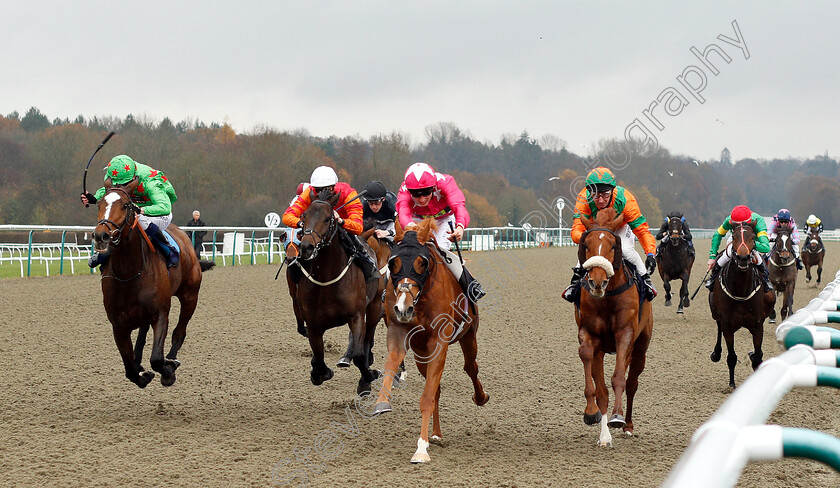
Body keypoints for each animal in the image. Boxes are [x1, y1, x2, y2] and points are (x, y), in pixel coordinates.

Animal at [90, 179, 215, 388]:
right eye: (99, 204)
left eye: (126, 205)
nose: (101, 236)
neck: (129, 273)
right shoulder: (118, 324)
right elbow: (129, 368)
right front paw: (142, 374)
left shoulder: (160, 312)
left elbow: (157, 359)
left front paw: (167, 372)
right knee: (142, 331)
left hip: (190, 295)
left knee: (180, 331)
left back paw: (171, 359)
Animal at [292, 189, 378, 394]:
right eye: (304, 217)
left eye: (327, 218)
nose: (306, 247)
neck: (326, 280)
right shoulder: (313, 324)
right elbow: (319, 359)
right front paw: (320, 373)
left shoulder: (356, 315)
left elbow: (358, 354)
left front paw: (367, 379)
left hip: (375, 306)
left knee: (367, 338)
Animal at [370, 219, 488, 464]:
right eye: (393, 262)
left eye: (421, 263)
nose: (403, 308)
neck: (420, 300)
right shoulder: (398, 332)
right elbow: (391, 365)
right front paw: (382, 403)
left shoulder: (438, 342)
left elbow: (426, 397)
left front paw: (421, 449)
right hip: (420, 354)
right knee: (437, 389)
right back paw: (436, 433)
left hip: (468, 335)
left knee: (471, 368)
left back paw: (480, 397)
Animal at [576, 206, 652, 446]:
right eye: (586, 245)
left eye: (612, 245)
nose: (597, 282)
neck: (607, 296)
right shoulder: (590, 335)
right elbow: (589, 362)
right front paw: (592, 415)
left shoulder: (625, 333)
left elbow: (619, 377)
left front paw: (617, 417)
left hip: (641, 347)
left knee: (632, 383)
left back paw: (627, 425)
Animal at [708, 222, 776, 388]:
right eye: (733, 237)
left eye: (752, 237)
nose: (743, 257)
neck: (741, 289)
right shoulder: (727, 324)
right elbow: (731, 356)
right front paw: (732, 384)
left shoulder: (757, 324)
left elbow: (757, 356)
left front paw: (753, 357)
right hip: (716, 313)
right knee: (718, 327)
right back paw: (716, 353)